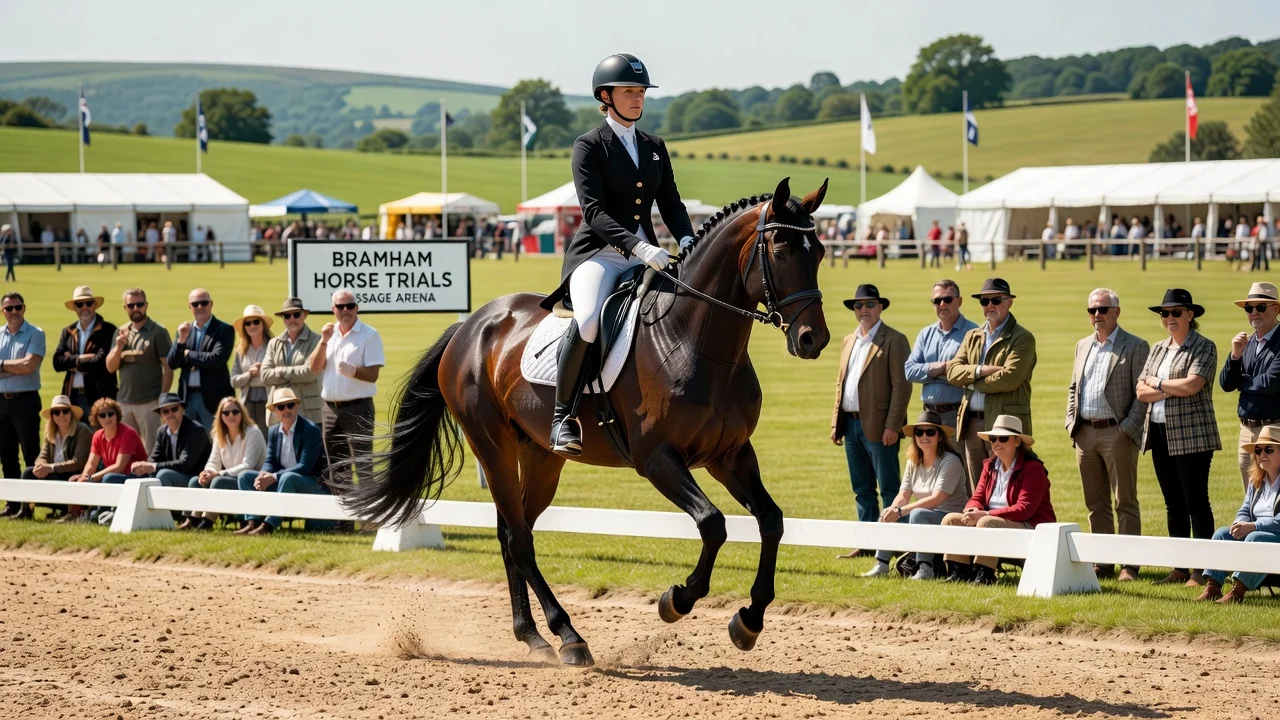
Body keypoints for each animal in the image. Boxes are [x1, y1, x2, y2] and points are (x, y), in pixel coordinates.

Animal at [343, 177, 831, 667]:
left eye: (821, 253)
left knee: (512, 532)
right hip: (492, 446)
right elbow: (713, 523)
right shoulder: (657, 459)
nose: (814, 340)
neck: (696, 341)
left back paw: (533, 635)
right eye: (781, 251)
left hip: (541, 457)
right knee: (519, 539)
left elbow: (771, 520)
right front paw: (677, 600)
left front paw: (749, 620)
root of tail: (471, 326)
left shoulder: (729, 455)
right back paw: (569, 636)